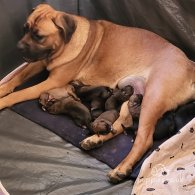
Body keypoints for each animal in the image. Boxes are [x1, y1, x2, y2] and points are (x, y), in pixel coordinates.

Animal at [0, 3, 195, 184]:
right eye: (25, 28)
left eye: (39, 36)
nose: (18, 47)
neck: (65, 43)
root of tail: (190, 65)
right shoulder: (38, 62)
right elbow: (15, 79)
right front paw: (3, 87)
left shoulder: (51, 82)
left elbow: (19, 93)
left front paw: (3, 100)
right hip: (131, 96)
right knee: (122, 123)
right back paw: (95, 140)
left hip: (153, 99)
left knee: (144, 139)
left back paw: (121, 168)